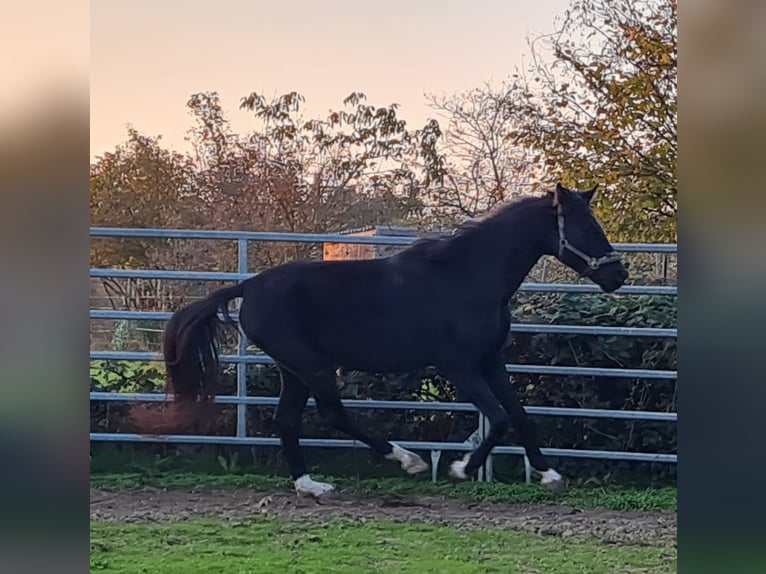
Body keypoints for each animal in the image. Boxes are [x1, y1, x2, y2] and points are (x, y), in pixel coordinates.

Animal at [135, 186, 632, 500]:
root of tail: (249, 286)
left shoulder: (493, 363)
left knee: (287, 420)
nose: (618, 275)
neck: (466, 277)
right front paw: (461, 468)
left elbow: (520, 416)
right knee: (332, 414)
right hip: (312, 366)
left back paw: (311, 486)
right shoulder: (459, 367)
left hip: (294, 370)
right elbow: (498, 419)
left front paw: (549, 474)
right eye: (586, 228)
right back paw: (406, 460)